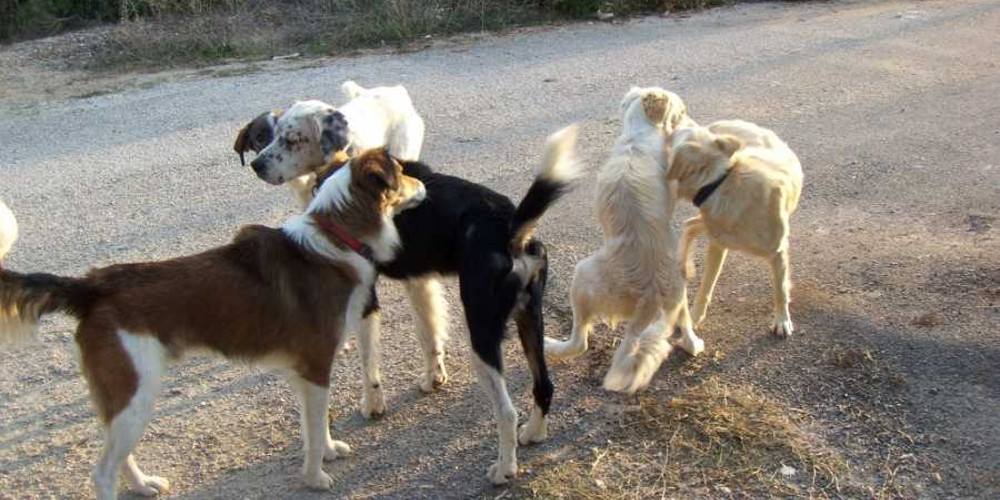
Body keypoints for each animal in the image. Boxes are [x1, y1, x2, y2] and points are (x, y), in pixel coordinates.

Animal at [240, 100, 580, 480]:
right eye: (265, 136)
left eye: (292, 138)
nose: (257, 164)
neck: (342, 168)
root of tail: (509, 226)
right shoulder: (419, 280)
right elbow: (429, 334)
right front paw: (433, 379)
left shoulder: (366, 300)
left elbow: (369, 363)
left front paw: (373, 405)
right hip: (529, 318)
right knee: (544, 385)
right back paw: (534, 433)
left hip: (482, 332)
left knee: (506, 412)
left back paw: (504, 469)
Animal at [664, 120, 804, 338]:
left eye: (672, 136)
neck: (721, 182)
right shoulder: (717, 245)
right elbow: (706, 286)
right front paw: (694, 317)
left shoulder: (778, 251)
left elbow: (780, 289)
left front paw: (782, 320)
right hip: (710, 225)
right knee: (690, 225)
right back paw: (682, 262)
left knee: (690, 224)